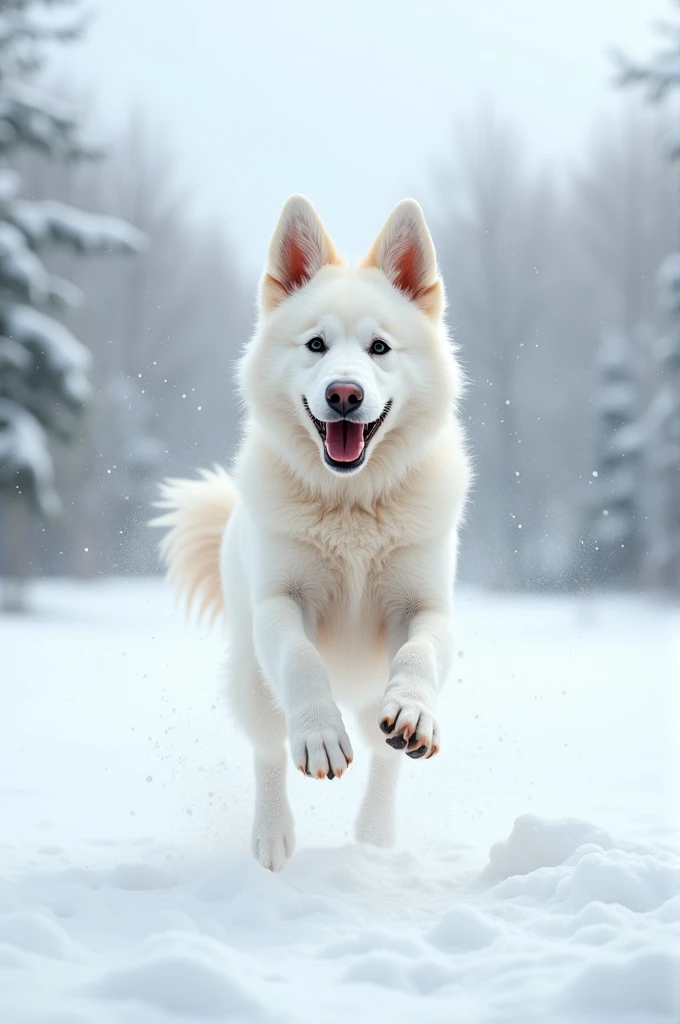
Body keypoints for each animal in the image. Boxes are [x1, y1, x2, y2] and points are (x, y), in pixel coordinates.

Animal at [153, 195, 471, 868]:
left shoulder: (426, 607)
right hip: (251, 677)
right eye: (316, 344)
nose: (343, 393)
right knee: (268, 751)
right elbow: (300, 661)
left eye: (380, 347)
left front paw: (414, 711)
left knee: (384, 757)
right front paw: (322, 735)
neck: (351, 507)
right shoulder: (279, 603)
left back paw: (376, 840)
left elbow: (418, 654)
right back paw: (272, 838)